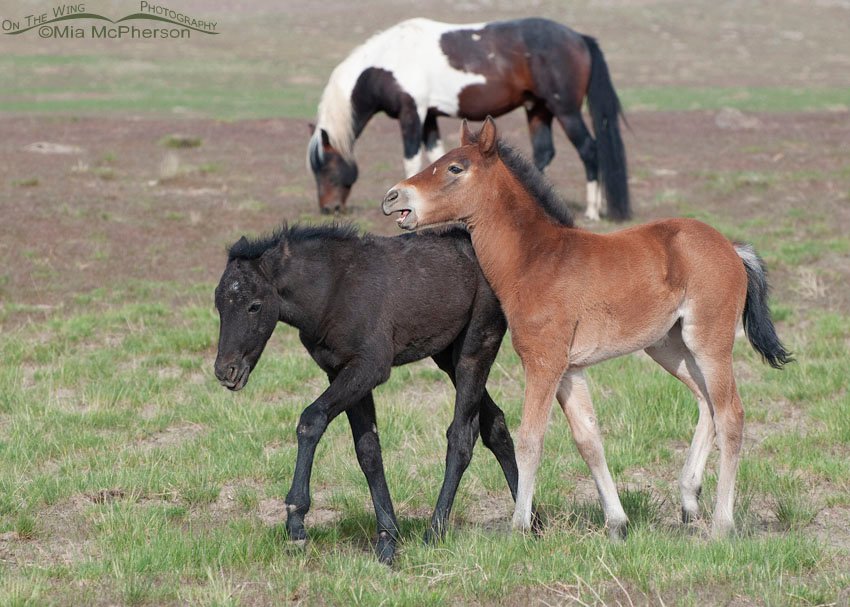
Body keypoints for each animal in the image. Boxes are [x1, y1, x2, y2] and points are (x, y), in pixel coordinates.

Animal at [213, 224, 520, 563]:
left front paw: (296, 522)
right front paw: (387, 540)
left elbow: (311, 419)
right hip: (446, 356)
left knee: (462, 436)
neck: (333, 289)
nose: (225, 371)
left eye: (254, 305)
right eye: (218, 305)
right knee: (494, 423)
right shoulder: (341, 372)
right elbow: (368, 450)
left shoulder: (369, 368)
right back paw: (530, 523)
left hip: (474, 350)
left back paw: (435, 532)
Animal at [307, 17, 629, 222]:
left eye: (328, 169)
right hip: (538, 109)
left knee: (589, 149)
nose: (328, 209)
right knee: (543, 152)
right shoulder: (429, 118)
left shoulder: (412, 114)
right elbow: (433, 156)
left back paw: (592, 211)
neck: (386, 62)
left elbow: (411, 159)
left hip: (566, 111)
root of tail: (580, 38)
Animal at [382, 117, 792, 540]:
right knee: (706, 403)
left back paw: (722, 523)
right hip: (669, 347)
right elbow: (588, 440)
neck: (534, 260)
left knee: (731, 414)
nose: (394, 197)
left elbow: (530, 439)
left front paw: (520, 527)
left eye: (455, 168)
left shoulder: (543, 363)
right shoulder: (570, 369)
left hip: (709, 342)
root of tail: (731, 247)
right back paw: (689, 500)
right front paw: (617, 523)